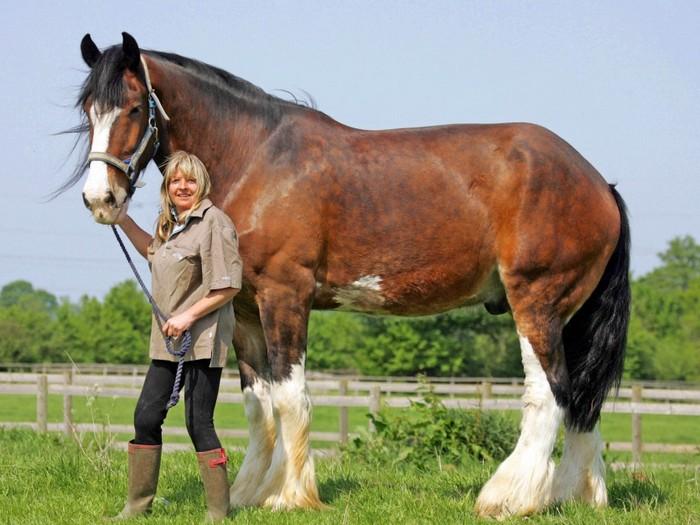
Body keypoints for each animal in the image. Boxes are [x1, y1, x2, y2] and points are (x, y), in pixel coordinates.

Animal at [69, 33, 628, 520]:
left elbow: (290, 396)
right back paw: (577, 495)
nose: (100, 200)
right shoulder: (244, 309)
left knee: (549, 394)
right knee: (581, 400)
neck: (256, 158)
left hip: (536, 301)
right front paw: (249, 492)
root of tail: (598, 182)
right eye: (87, 110)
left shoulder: (285, 295)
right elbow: (258, 404)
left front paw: (291, 496)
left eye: (134, 107)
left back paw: (509, 497)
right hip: (568, 315)